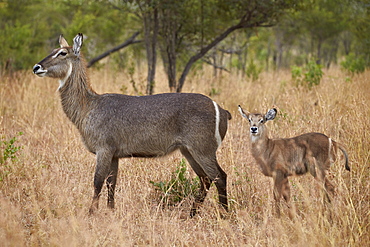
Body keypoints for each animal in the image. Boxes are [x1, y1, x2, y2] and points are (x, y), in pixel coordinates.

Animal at [32, 33, 231, 216]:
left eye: (62, 53)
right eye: (53, 50)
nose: (36, 67)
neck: (88, 106)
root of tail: (221, 109)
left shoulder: (104, 150)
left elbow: (97, 182)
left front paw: (91, 214)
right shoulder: (114, 155)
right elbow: (112, 183)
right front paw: (111, 211)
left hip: (203, 150)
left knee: (220, 177)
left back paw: (224, 214)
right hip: (188, 151)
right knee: (205, 179)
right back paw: (192, 214)